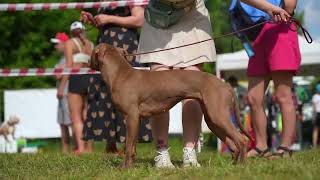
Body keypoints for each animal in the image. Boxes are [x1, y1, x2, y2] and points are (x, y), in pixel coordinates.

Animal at [89, 43, 250, 167]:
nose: (88, 64)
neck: (121, 74)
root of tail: (225, 85)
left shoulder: (131, 117)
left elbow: (128, 147)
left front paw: (125, 169)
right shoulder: (136, 119)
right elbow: (133, 147)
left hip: (218, 117)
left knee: (242, 141)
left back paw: (242, 166)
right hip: (213, 121)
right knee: (233, 145)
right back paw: (232, 166)